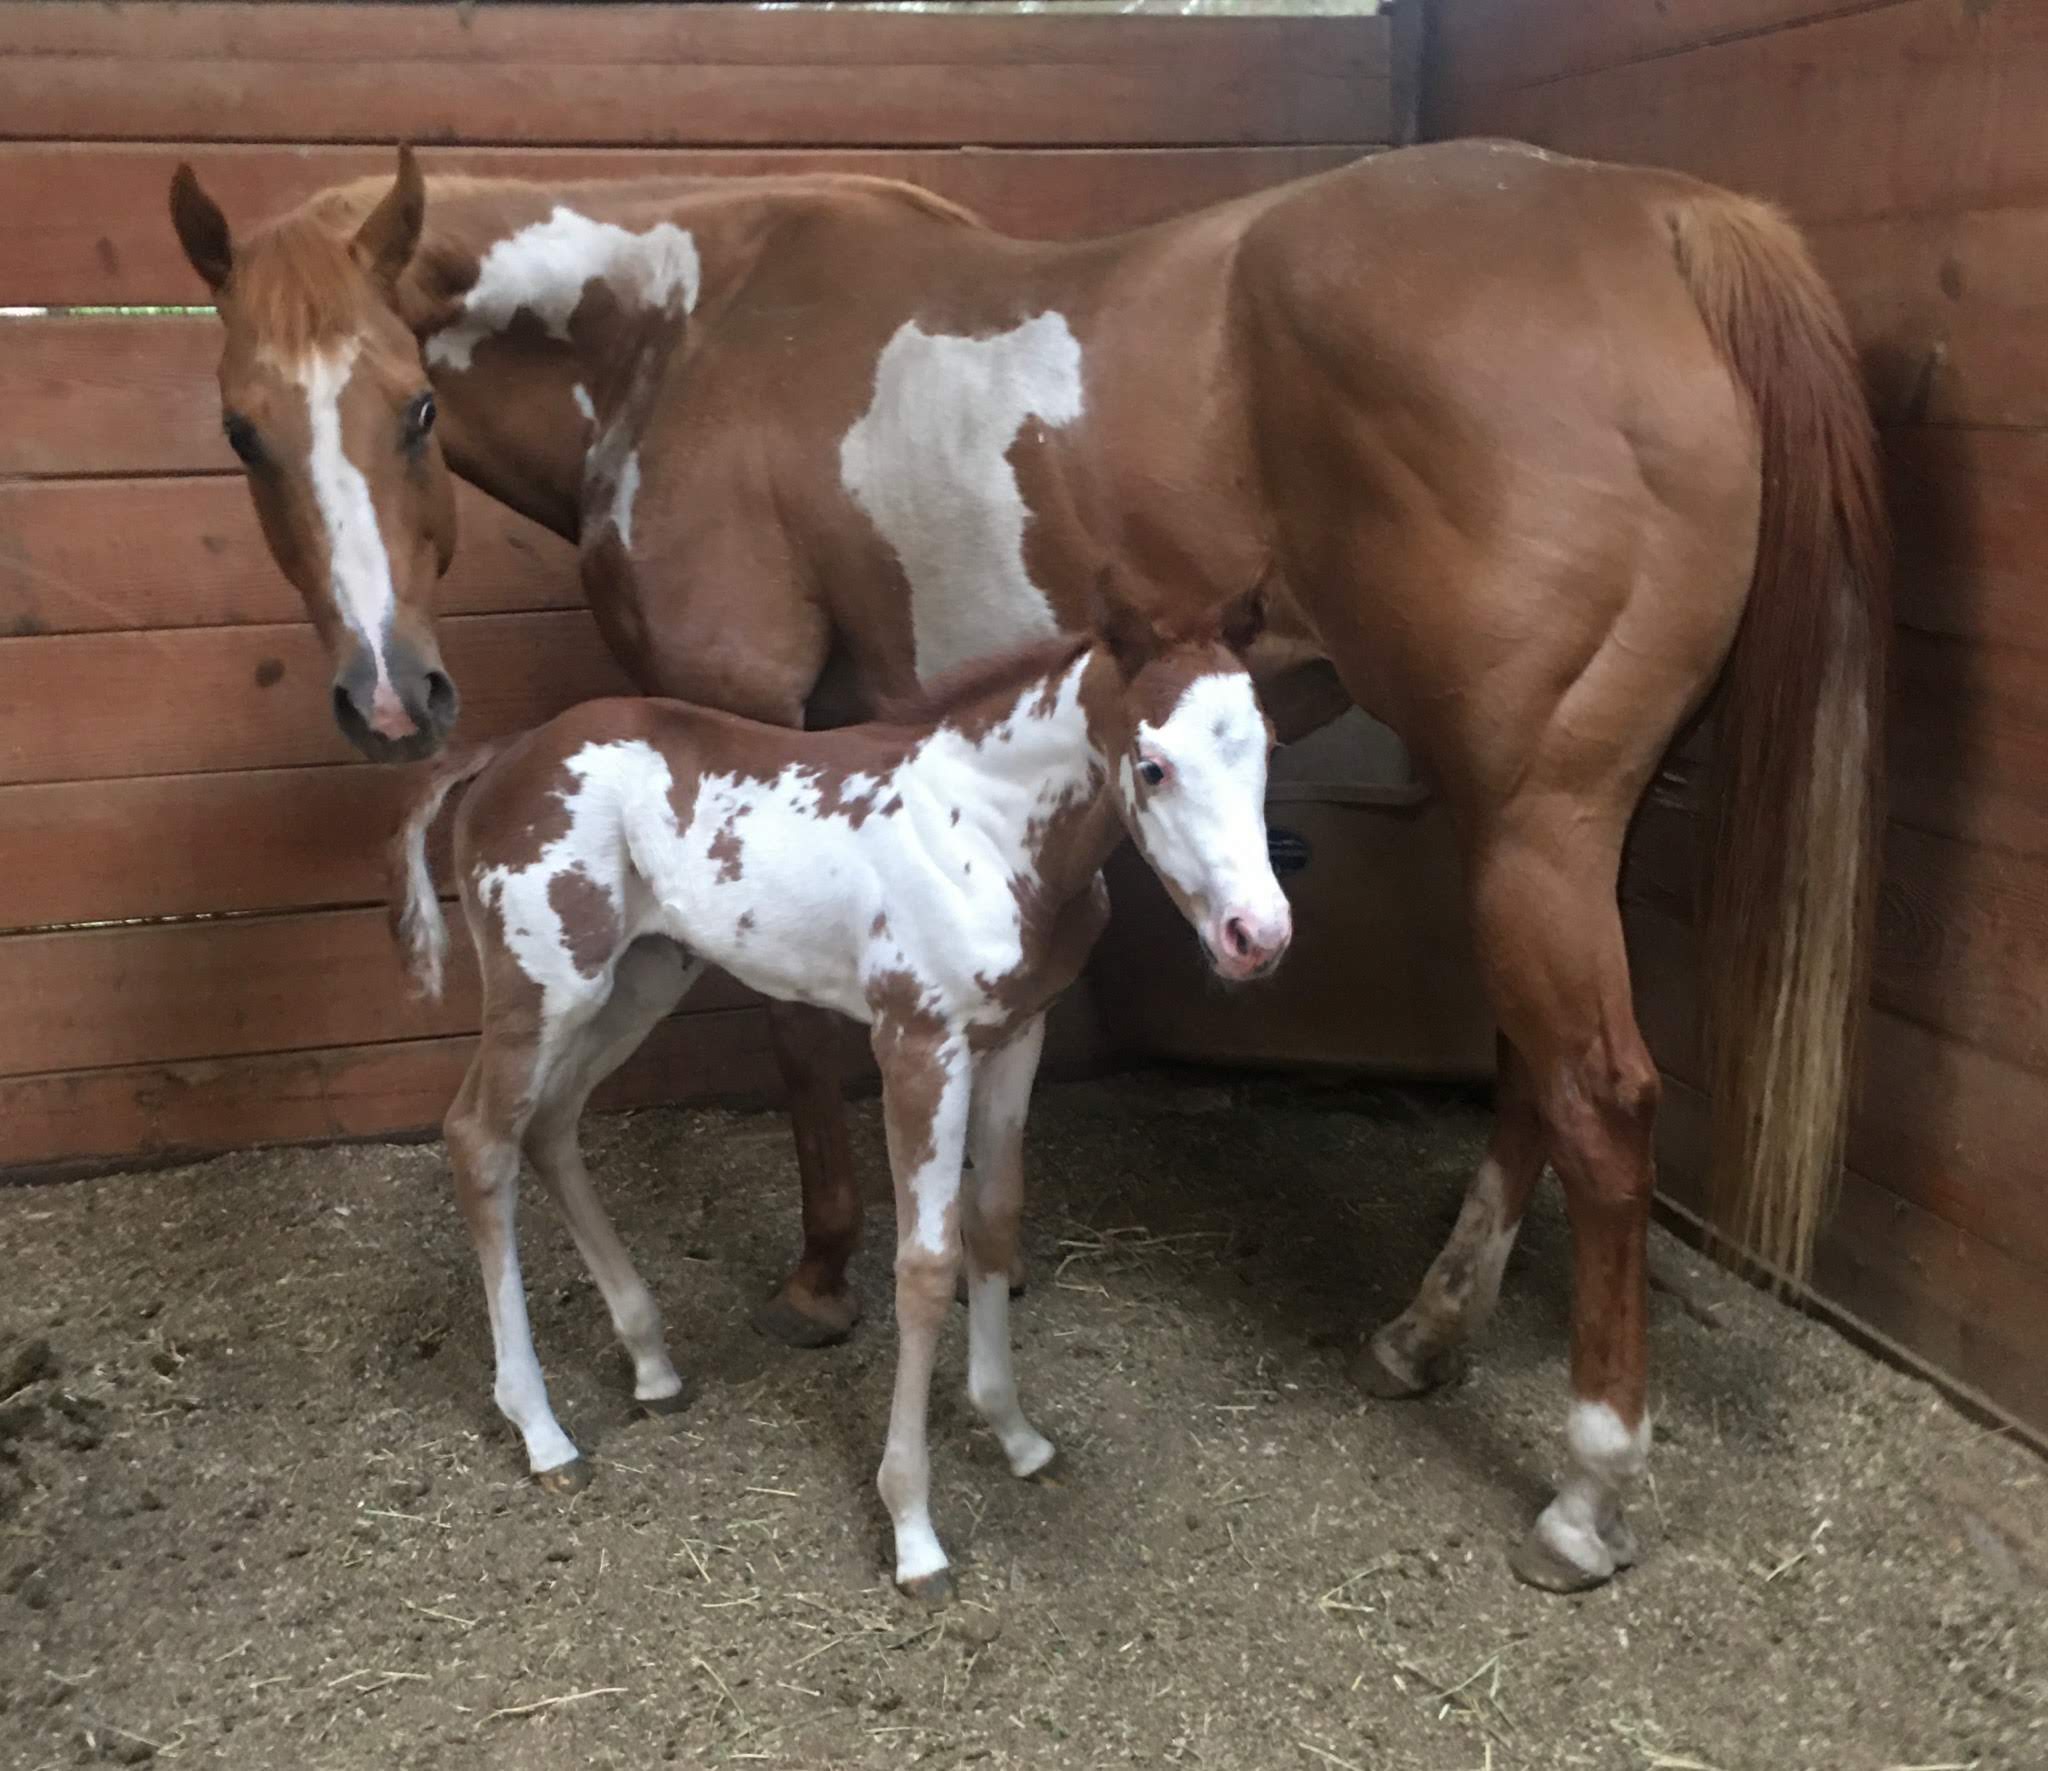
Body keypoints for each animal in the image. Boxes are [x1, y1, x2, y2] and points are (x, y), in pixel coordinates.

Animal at [391, 601, 1286, 1596]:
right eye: (1154, 764)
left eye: (1269, 746)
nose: (1258, 935)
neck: (984, 834)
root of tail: (505, 754)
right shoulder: (918, 1046)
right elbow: (925, 1266)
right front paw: (913, 1529)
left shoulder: (1016, 1036)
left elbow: (995, 1220)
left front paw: (1013, 1433)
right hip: (543, 986)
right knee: (480, 1137)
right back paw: (542, 1431)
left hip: (643, 976)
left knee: (549, 1125)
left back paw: (652, 1362)